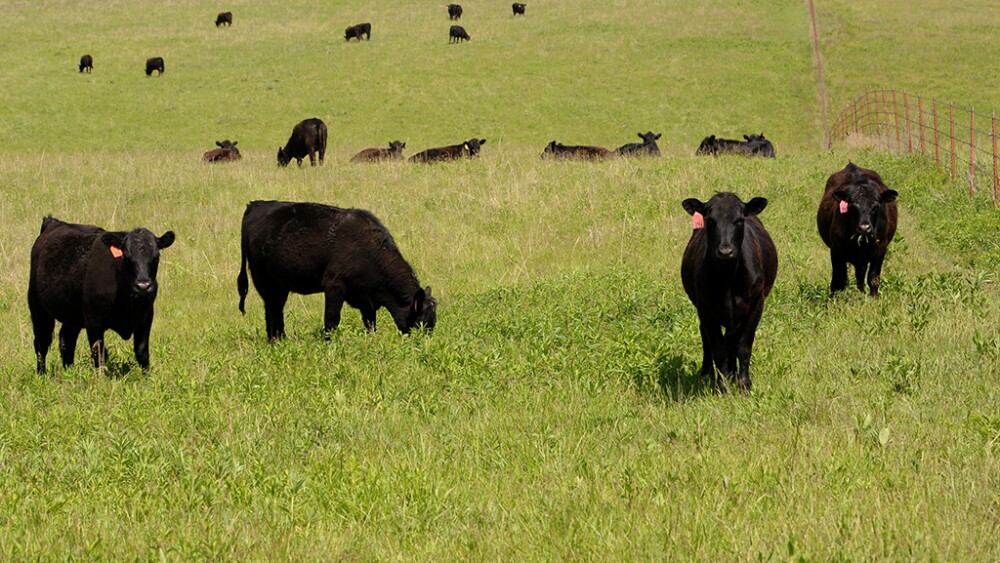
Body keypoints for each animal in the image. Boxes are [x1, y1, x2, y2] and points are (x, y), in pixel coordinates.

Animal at [28, 217, 175, 374]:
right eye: (126, 257)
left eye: (156, 257)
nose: (143, 285)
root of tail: (53, 222)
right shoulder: (94, 321)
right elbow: (99, 354)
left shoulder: (145, 317)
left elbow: (142, 352)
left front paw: (146, 377)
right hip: (37, 307)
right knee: (41, 342)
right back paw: (42, 373)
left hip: (72, 314)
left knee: (66, 340)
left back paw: (70, 371)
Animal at [237, 201, 437, 339]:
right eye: (421, 321)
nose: (425, 341)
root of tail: (255, 205)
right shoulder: (334, 286)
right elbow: (332, 319)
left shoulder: (366, 298)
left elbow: (370, 321)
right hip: (265, 281)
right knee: (273, 309)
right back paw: (278, 339)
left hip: (280, 285)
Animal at [681, 192, 778, 393]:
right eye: (711, 220)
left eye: (739, 220)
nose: (725, 251)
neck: (728, 278)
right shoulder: (705, 308)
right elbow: (719, 350)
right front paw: (722, 387)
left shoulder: (756, 305)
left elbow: (743, 346)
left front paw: (744, 384)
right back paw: (708, 371)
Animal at [817, 162, 898, 298]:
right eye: (852, 206)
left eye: (876, 206)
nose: (864, 228)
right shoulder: (836, 250)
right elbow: (838, 280)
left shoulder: (881, 248)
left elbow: (874, 278)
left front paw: (874, 298)